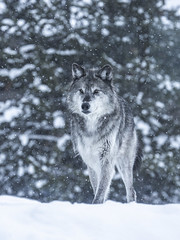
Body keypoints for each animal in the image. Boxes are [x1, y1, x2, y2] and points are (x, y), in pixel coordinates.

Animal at [67, 62, 141, 203]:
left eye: (96, 91)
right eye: (81, 91)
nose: (85, 105)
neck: (92, 127)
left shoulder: (107, 159)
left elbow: (100, 191)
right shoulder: (90, 161)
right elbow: (98, 189)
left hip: (124, 163)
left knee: (131, 191)